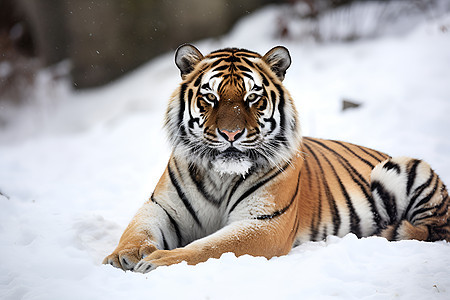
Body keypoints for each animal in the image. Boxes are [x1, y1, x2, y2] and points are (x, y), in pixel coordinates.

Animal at [103, 44, 450, 272]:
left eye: (252, 97)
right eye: (210, 97)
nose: (231, 134)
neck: (221, 176)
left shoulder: (264, 223)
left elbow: (212, 246)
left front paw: (161, 260)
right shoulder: (161, 207)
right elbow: (136, 230)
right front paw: (123, 256)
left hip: (405, 169)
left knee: (431, 230)